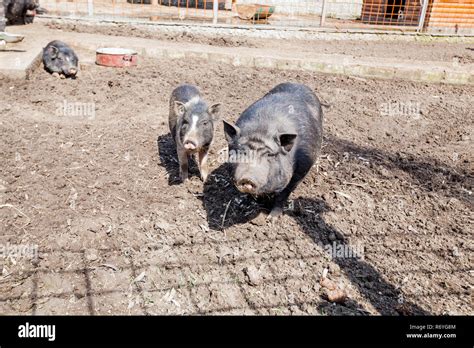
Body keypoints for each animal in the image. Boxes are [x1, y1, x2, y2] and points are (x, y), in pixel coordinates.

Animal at [222, 82, 322, 220]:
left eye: (269, 155)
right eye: (241, 152)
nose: (247, 178)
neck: (262, 130)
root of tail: (298, 84)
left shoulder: (302, 169)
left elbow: (283, 194)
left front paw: (271, 218)